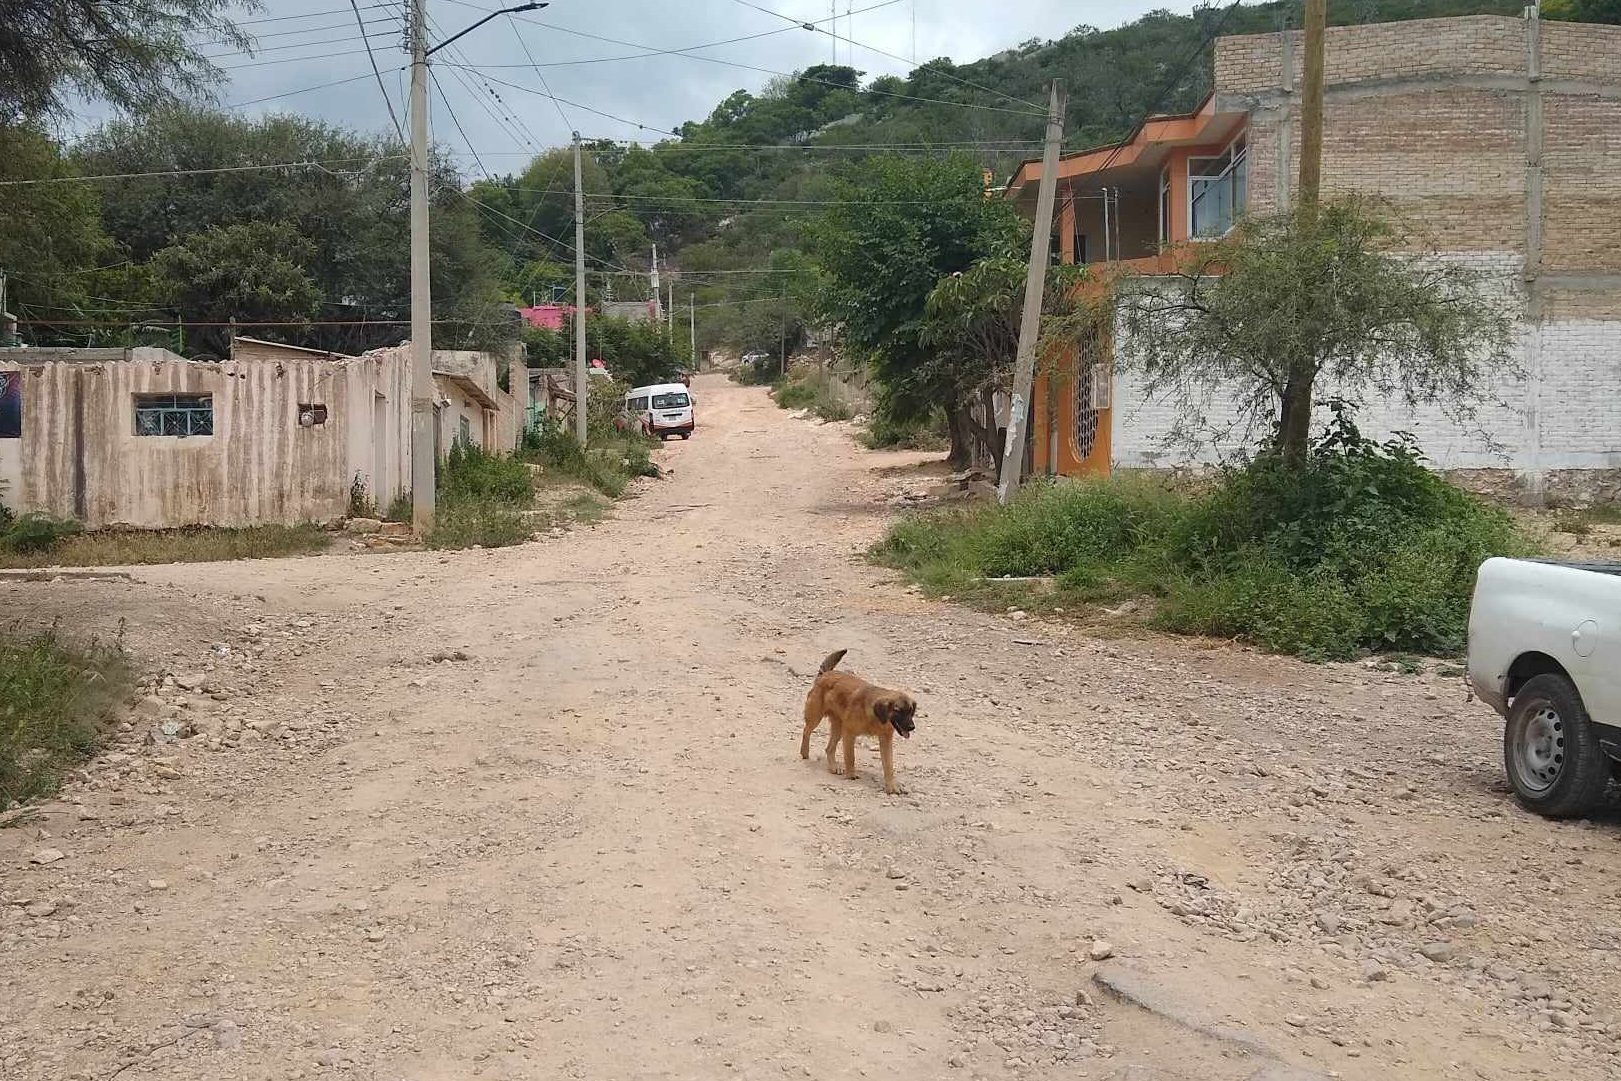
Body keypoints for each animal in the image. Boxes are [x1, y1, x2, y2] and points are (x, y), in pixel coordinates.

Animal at [800, 651, 920, 794]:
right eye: (898, 711)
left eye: (910, 711)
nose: (912, 727)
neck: (876, 717)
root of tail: (825, 674)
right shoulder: (849, 734)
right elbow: (850, 757)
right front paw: (851, 774)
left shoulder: (885, 741)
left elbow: (889, 766)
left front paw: (892, 786)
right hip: (816, 717)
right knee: (806, 731)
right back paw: (805, 752)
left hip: (838, 728)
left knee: (829, 748)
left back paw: (834, 767)